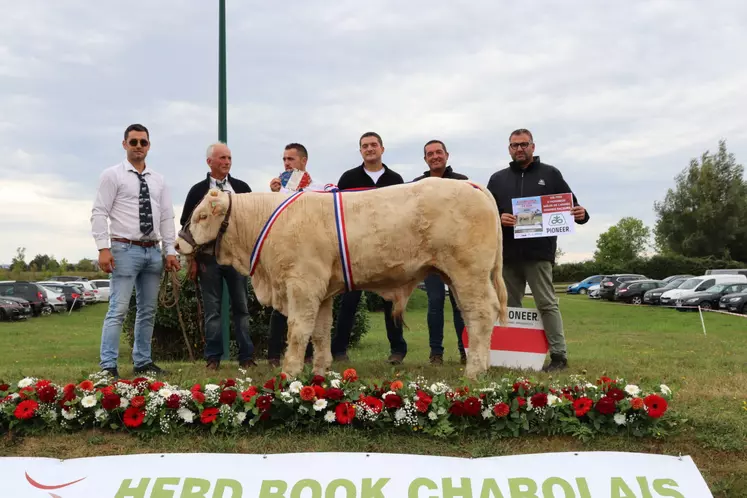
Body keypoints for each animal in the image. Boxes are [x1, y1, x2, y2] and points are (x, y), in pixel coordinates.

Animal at [177, 177, 508, 380]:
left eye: (202, 216)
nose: (178, 244)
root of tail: (471, 185)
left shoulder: (303, 284)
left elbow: (298, 330)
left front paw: (290, 372)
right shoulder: (321, 292)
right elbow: (321, 332)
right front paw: (320, 372)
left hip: (469, 273)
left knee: (480, 315)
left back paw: (474, 370)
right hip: (458, 277)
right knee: (474, 316)